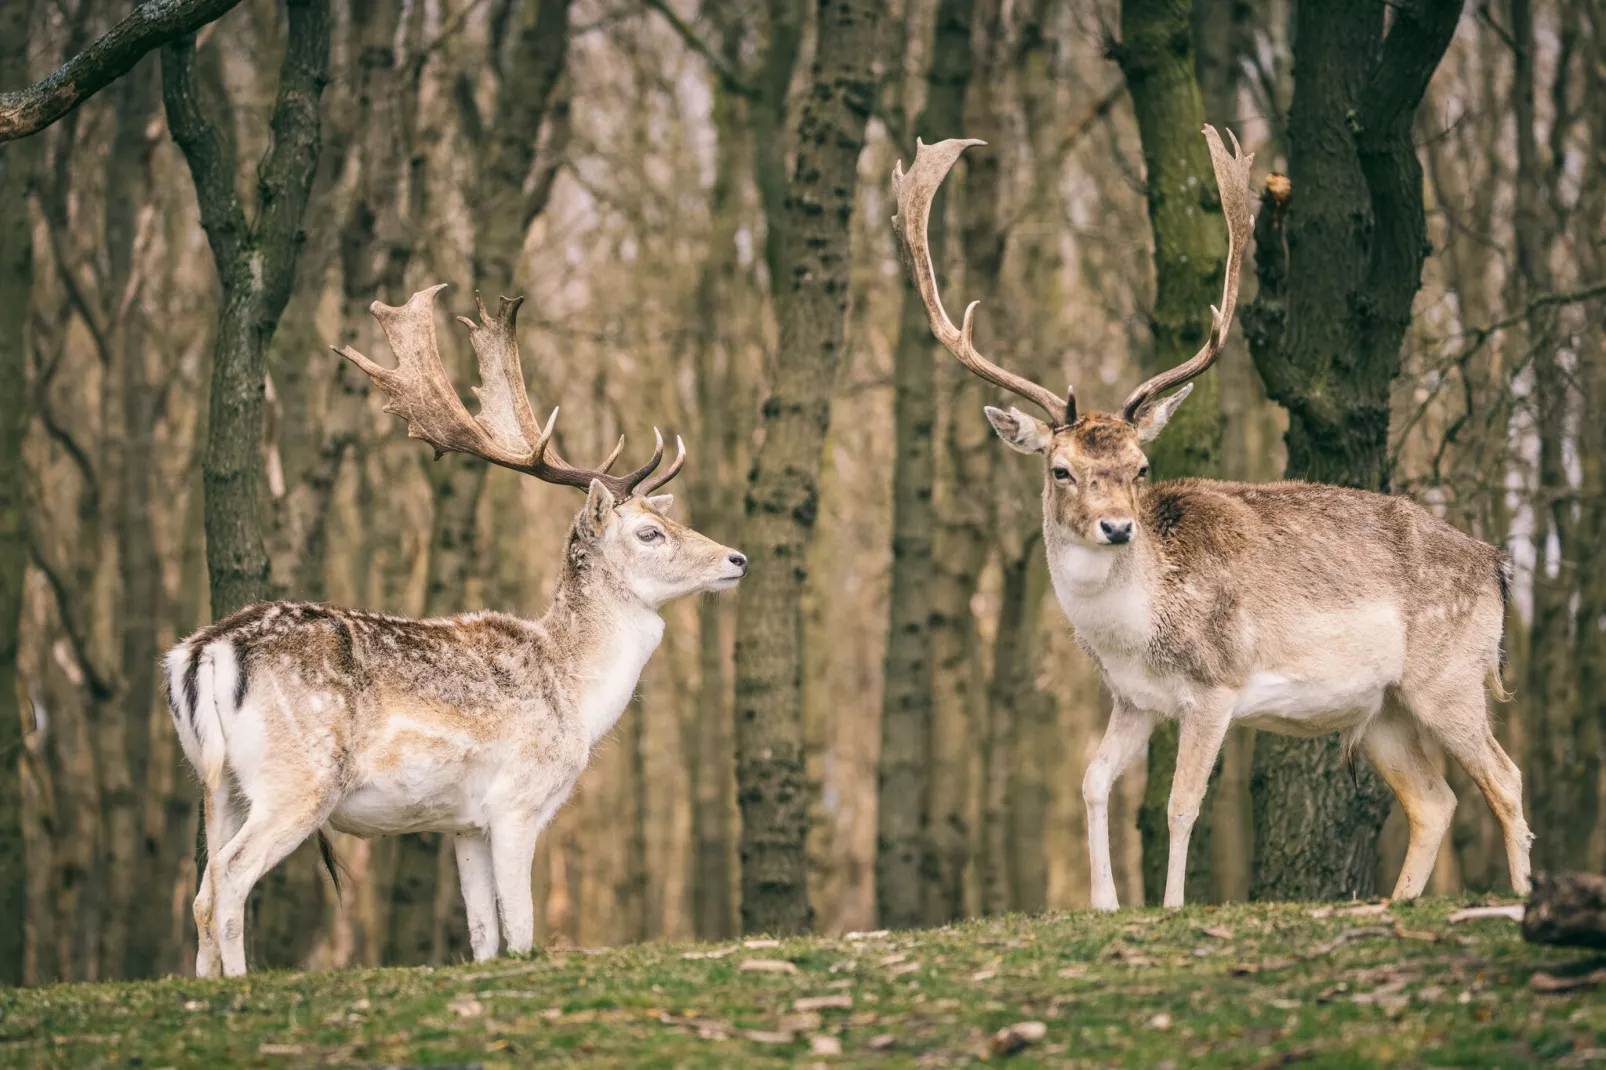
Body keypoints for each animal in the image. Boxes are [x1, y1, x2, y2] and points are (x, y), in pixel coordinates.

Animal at [163, 285, 745, 976]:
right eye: (650, 533)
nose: (737, 558)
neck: (576, 699)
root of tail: (203, 653)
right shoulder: (517, 803)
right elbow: (520, 929)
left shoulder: (462, 824)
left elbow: (482, 935)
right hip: (296, 779)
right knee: (229, 879)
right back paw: (243, 983)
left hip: (217, 781)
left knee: (200, 892)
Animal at [892, 126, 1528, 906]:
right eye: (1059, 468)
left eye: (1140, 467)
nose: (1117, 526)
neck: (1135, 631)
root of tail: (1498, 564)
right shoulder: (1134, 699)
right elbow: (1092, 781)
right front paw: (1104, 904)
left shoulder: (1215, 688)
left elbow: (1180, 802)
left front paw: (1168, 905)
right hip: (1384, 709)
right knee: (1436, 801)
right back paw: (1401, 900)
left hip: (1451, 676)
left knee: (1505, 778)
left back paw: (1522, 894)